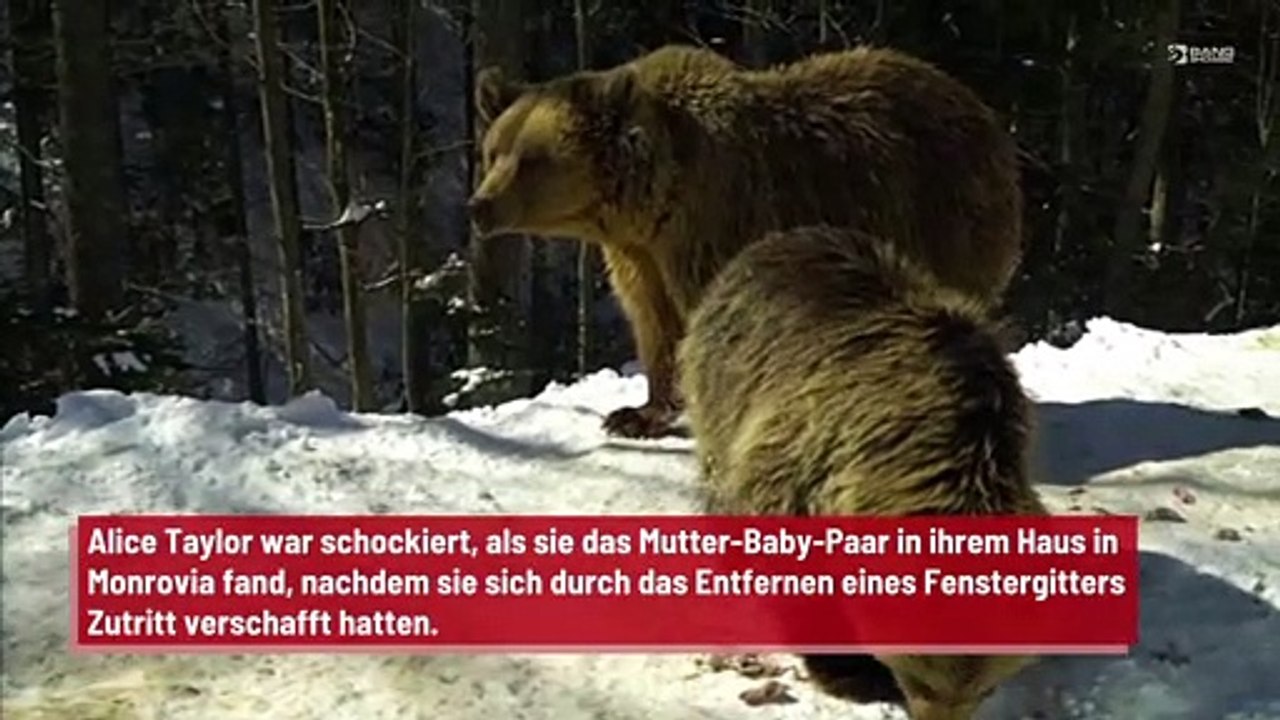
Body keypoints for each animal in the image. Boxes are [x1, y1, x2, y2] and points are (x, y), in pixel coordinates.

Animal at [469, 44, 1023, 439]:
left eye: (532, 159)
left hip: (939, 215)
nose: (479, 206)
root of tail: (976, 104)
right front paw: (636, 414)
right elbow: (653, 322)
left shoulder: (715, 226)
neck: (649, 202)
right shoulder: (639, 255)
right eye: (494, 151)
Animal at [675, 224, 1047, 720]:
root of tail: (783, 237)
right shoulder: (803, 458)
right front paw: (846, 668)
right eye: (917, 680)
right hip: (722, 378)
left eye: (985, 689)